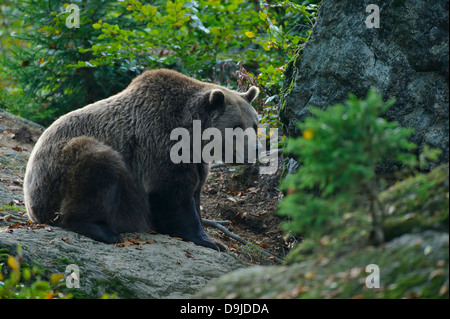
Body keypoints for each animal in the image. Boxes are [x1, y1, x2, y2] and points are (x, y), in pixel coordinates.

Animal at [22, 69, 258, 251]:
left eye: (254, 125)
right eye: (236, 127)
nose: (256, 149)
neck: (192, 134)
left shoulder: (196, 160)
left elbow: (194, 191)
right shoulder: (160, 143)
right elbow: (172, 194)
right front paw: (210, 241)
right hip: (58, 172)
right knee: (99, 164)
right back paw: (102, 231)